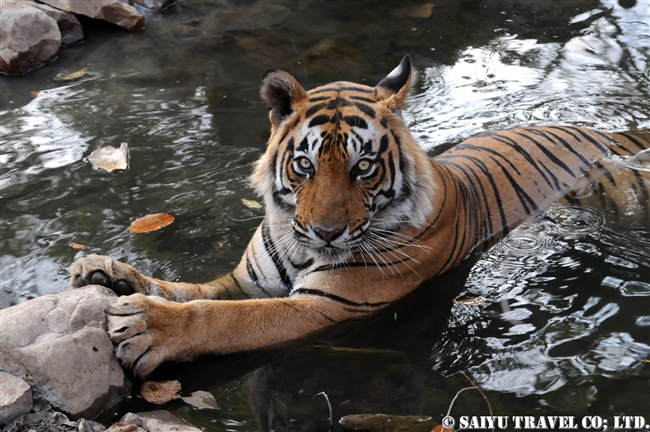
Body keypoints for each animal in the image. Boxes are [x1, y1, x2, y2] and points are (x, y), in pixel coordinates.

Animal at [71, 54, 648, 378]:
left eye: (363, 167)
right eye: (304, 165)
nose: (326, 232)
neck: (297, 240)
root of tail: (615, 135)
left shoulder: (324, 306)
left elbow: (226, 319)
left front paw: (147, 326)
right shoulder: (245, 281)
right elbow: (187, 290)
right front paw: (107, 271)